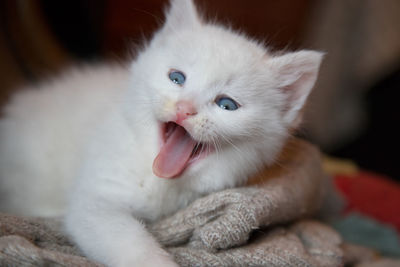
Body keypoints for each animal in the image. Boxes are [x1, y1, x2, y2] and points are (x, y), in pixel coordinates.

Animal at [0, 0, 322, 266]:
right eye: (176, 78)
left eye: (227, 104)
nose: (184, 109)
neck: (161, 181)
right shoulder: (97, 199)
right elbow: (127, 241)